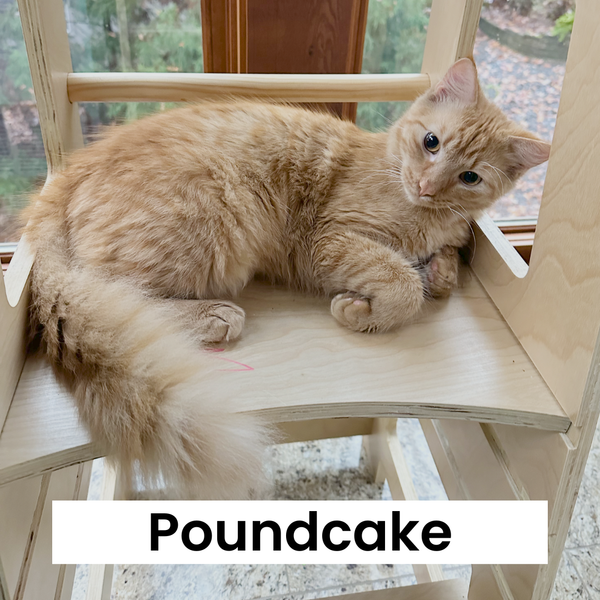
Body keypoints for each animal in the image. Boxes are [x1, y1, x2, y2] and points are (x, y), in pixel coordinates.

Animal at [23, 58, 550, 499]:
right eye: (431, 142)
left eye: (469, 178)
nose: (426, 186)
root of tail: (67, 177)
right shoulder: (328, 240)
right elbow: (402, 282)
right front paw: (361, 309)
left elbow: (442, 269)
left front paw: (438, 268)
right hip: (209, 226)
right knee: (109, 298)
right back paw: (211, 316)